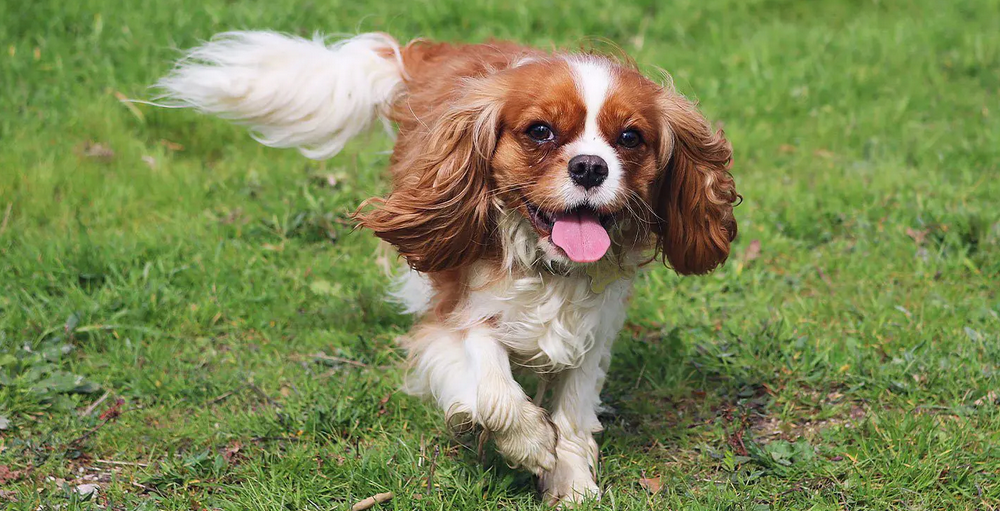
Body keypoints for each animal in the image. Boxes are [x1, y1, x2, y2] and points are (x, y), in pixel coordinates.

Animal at [154, 31, 736, 504]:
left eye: (630, 138)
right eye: (540, 131)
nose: (591, 166)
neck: (544, 264)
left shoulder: (593, 334)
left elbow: (572, 414)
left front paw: (571, 484)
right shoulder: (453, 318)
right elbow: (493, 387)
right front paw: (529, 444)